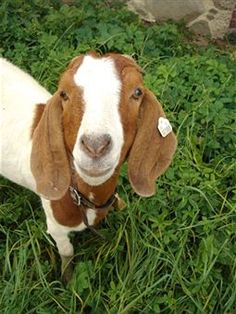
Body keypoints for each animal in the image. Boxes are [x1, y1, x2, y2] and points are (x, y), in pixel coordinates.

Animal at [0, 52, 177, 280]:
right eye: (64, 93)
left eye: (137, 92)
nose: (95, 146)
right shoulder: (56, 227)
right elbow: (67, 252)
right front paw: (67, 280)